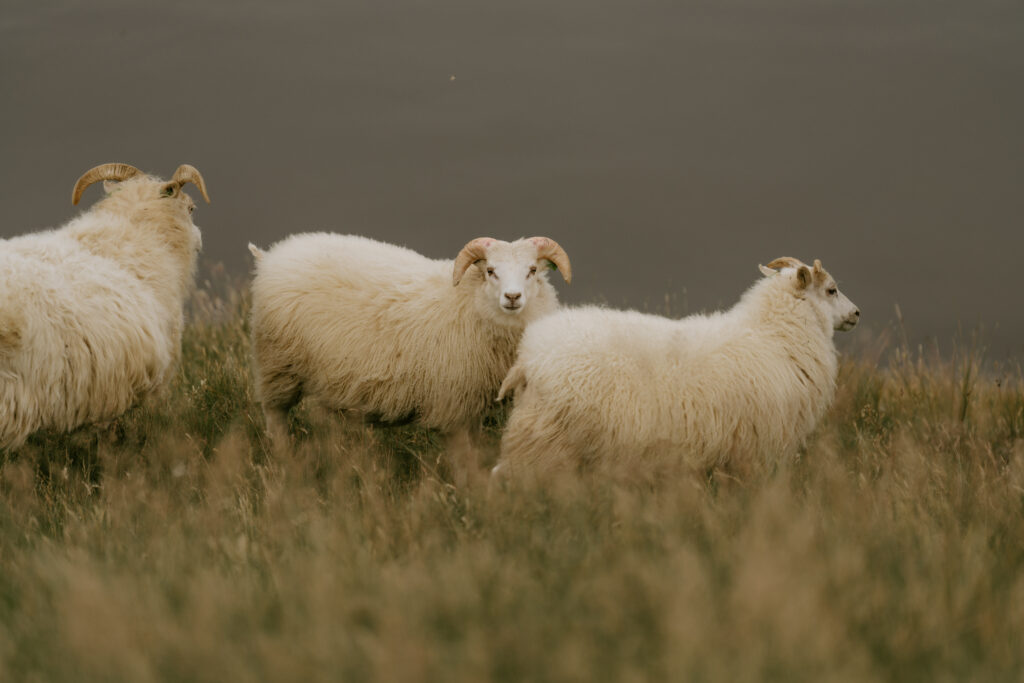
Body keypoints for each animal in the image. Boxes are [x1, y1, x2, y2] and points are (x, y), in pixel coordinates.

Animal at [244, 232, 573, 446]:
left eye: (532, 270)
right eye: (491, 271)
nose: (513, 297)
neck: (468, 301)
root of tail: (270, 256)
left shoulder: (471, 405)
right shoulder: (452, 403)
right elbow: (464, 460)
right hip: (277, 363)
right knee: (274, 414)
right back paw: (284, 458)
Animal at [491, 258, 860, 481]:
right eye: (831, 290)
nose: (857, 313)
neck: (776, 335)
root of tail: (528, 358)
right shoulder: (761, 446)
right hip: (545, 442)